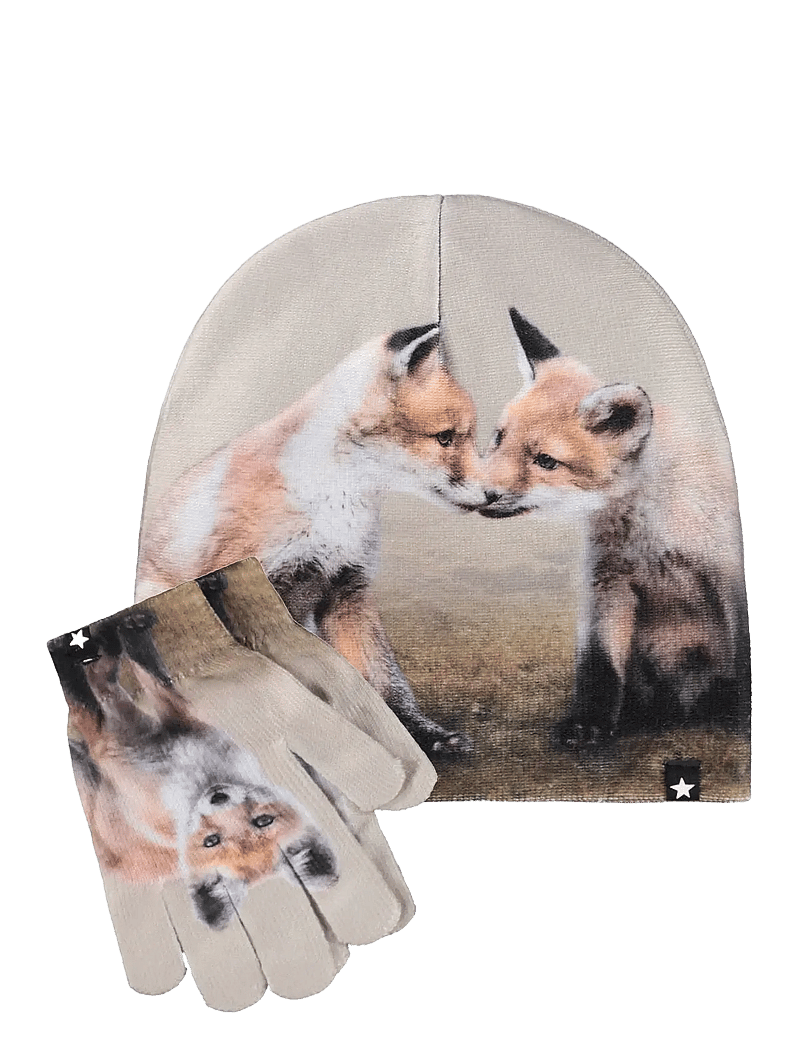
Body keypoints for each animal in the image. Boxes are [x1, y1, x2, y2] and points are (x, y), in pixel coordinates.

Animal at [49, 611, 337, 929]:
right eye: (212, 841)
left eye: (262, 821)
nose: (217, 796)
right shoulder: (171, 725)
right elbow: (144, 673)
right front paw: (128, 630)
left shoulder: (117, 738)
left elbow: (102, 692)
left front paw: (100, 646)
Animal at [137, 324, 490, 754]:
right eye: (445, 438)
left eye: (466, 438)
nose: (494, 494)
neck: (334, 501)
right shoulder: (245, 587)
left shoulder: (346, 590)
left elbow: (384, 682)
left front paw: (421, 734)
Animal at [482, 307, 750, 747]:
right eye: (499, 438)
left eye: (546, 461)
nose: (481, 493)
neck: (650, 533)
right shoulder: (608, 582)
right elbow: (600, 663)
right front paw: (589, 723)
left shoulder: (727, 576)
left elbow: (743, 655)